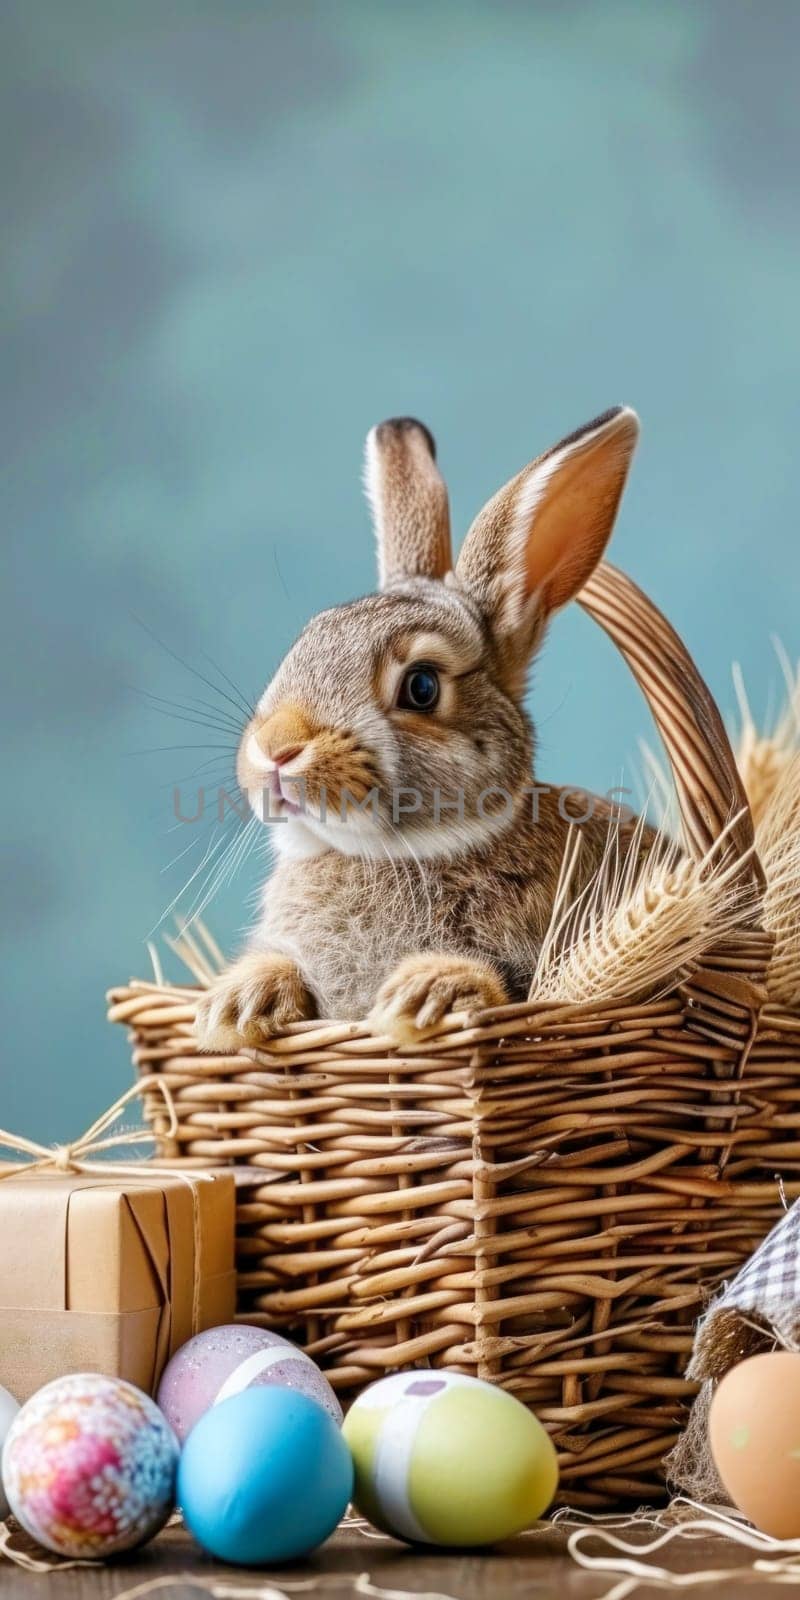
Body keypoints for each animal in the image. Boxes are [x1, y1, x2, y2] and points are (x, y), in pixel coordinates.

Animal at [195, 406, 643, 1043]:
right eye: (303, 643)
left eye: (422, 687)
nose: (277, 748)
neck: (384, 854)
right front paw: (237, 1004)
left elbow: (511, 991)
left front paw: (425, 995)